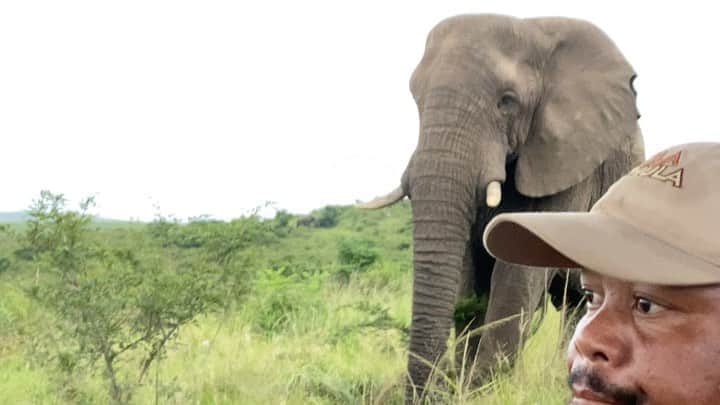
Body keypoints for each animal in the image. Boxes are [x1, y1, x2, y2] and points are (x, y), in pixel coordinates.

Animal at [359, 14, 644, 401]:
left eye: (506, 102)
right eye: (416, 100)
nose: (435, 388)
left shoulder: (566, 160)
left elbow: (515, 272)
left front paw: (480, 387)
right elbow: (470, 269)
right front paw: (466, 383)